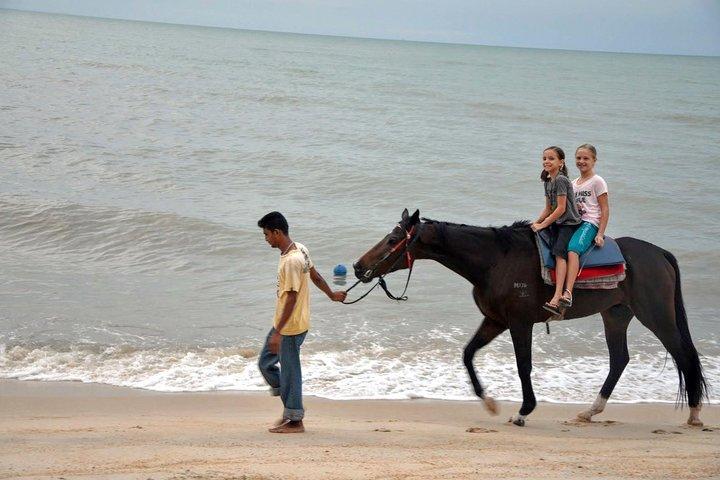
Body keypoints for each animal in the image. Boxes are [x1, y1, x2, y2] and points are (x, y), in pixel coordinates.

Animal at [353, 209, 707, 426]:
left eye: (393, 240)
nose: (358, 266)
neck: (496, 260)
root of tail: (660, 254)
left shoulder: (519, 323)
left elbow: (523, 364)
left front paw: (523, 412)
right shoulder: (495, 320)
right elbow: (468, 354)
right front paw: (489, 401)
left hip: (656, 315)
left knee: (683, 354)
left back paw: (694, 413)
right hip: (616, 315)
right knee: (619, 359)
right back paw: (589, 412)